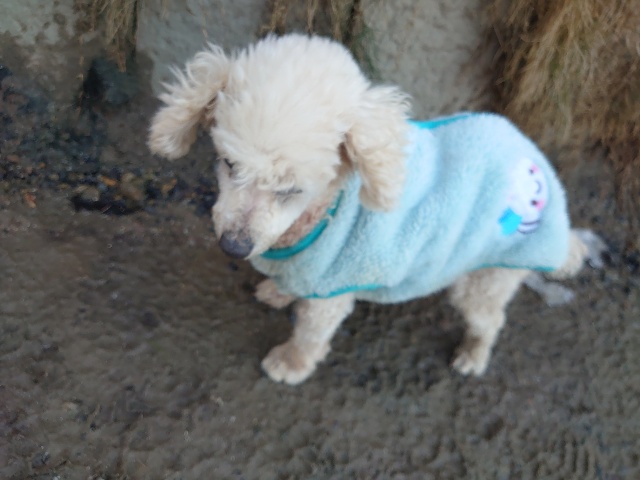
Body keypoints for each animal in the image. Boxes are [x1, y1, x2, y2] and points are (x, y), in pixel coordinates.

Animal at [148, 34, 604, 385]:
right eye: (229, 164)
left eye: (293, 189)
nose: (234, 247)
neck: (322, 212)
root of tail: (540, 168)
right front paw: (279, 291)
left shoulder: (331, 292)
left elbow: (310, 333)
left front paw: (291, 365)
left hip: (489, 275)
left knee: (489, 319)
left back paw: (474, 355)